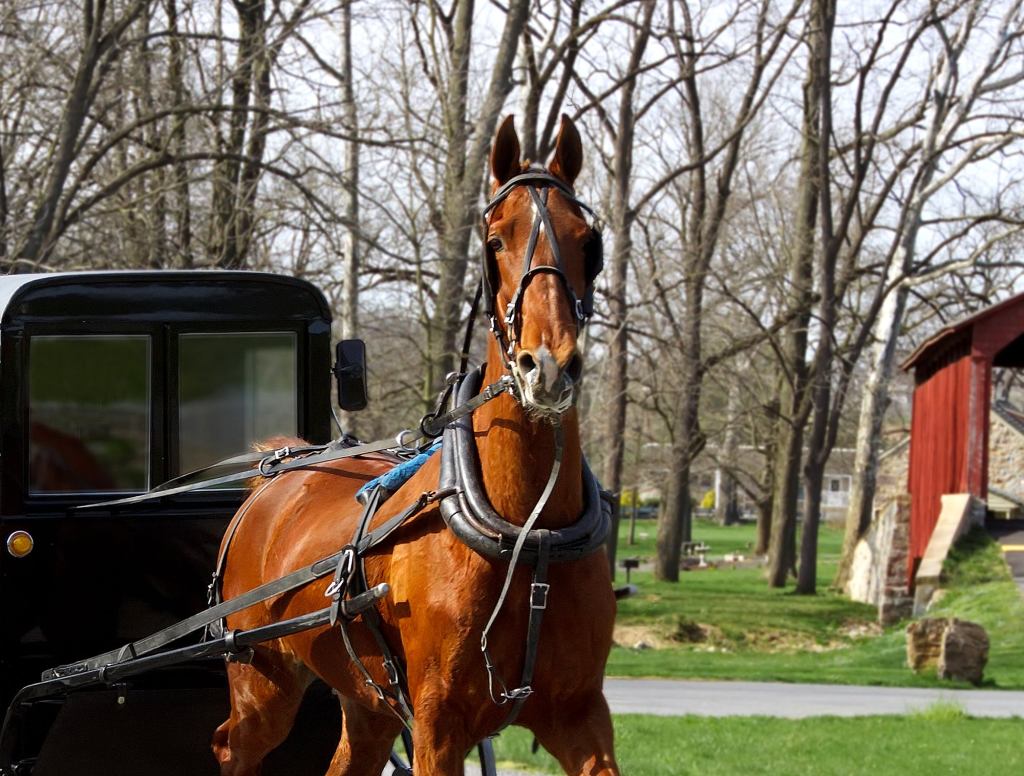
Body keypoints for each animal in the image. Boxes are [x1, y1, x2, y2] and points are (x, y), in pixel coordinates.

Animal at [211, 115, 618, 776]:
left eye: (589, 244)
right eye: (495, 241)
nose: (550, 365)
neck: (527, 532)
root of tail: (277, 474)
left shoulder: (582, 715)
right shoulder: (436, 727)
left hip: (367, 699)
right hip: (261, 681)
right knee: (232, 745)